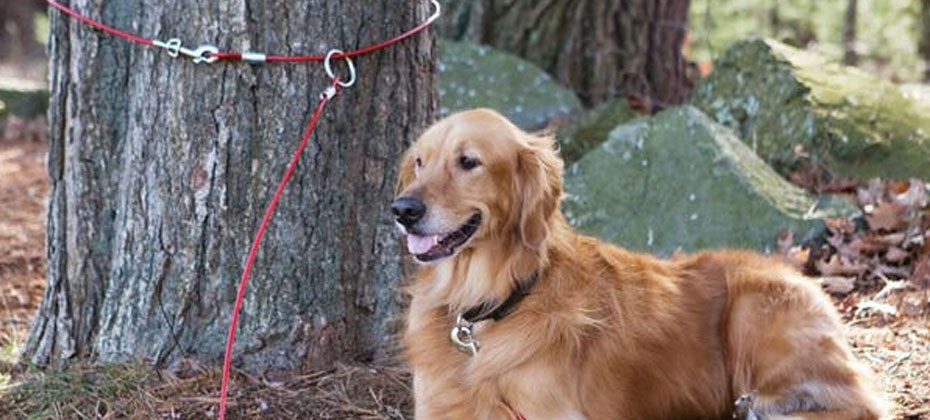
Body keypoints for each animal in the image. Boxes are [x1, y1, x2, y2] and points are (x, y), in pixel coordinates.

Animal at [394, 109, 884, 420]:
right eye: (419, 161)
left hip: (754, 311)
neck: (487, 309)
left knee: (863, 405)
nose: (402, 209)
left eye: (468, 161)